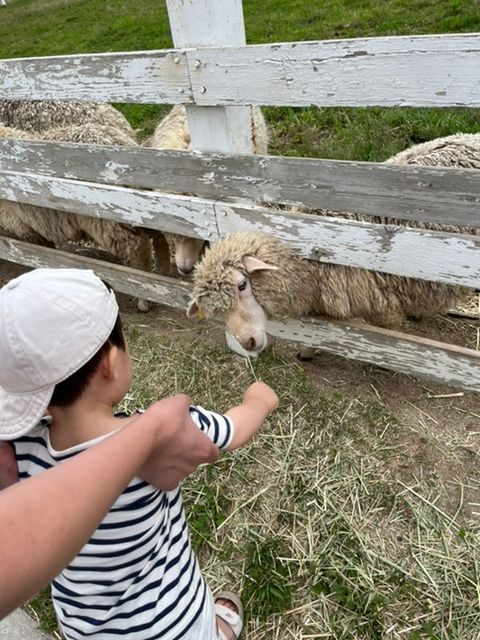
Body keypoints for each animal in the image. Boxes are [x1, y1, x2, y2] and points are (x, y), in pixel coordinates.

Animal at [0, 124, 172, 310]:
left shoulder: (22, 225)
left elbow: (40, 252)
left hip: (110, 219)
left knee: (138, 247)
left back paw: (143, 296)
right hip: (142, 210)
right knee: (160, 237)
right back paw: (162, 274)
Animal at [186, 230, 470, 356]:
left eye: (242, 285)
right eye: (217, 313)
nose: (248, 343)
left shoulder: (380, 305)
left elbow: (390, 330)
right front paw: (308, 352)